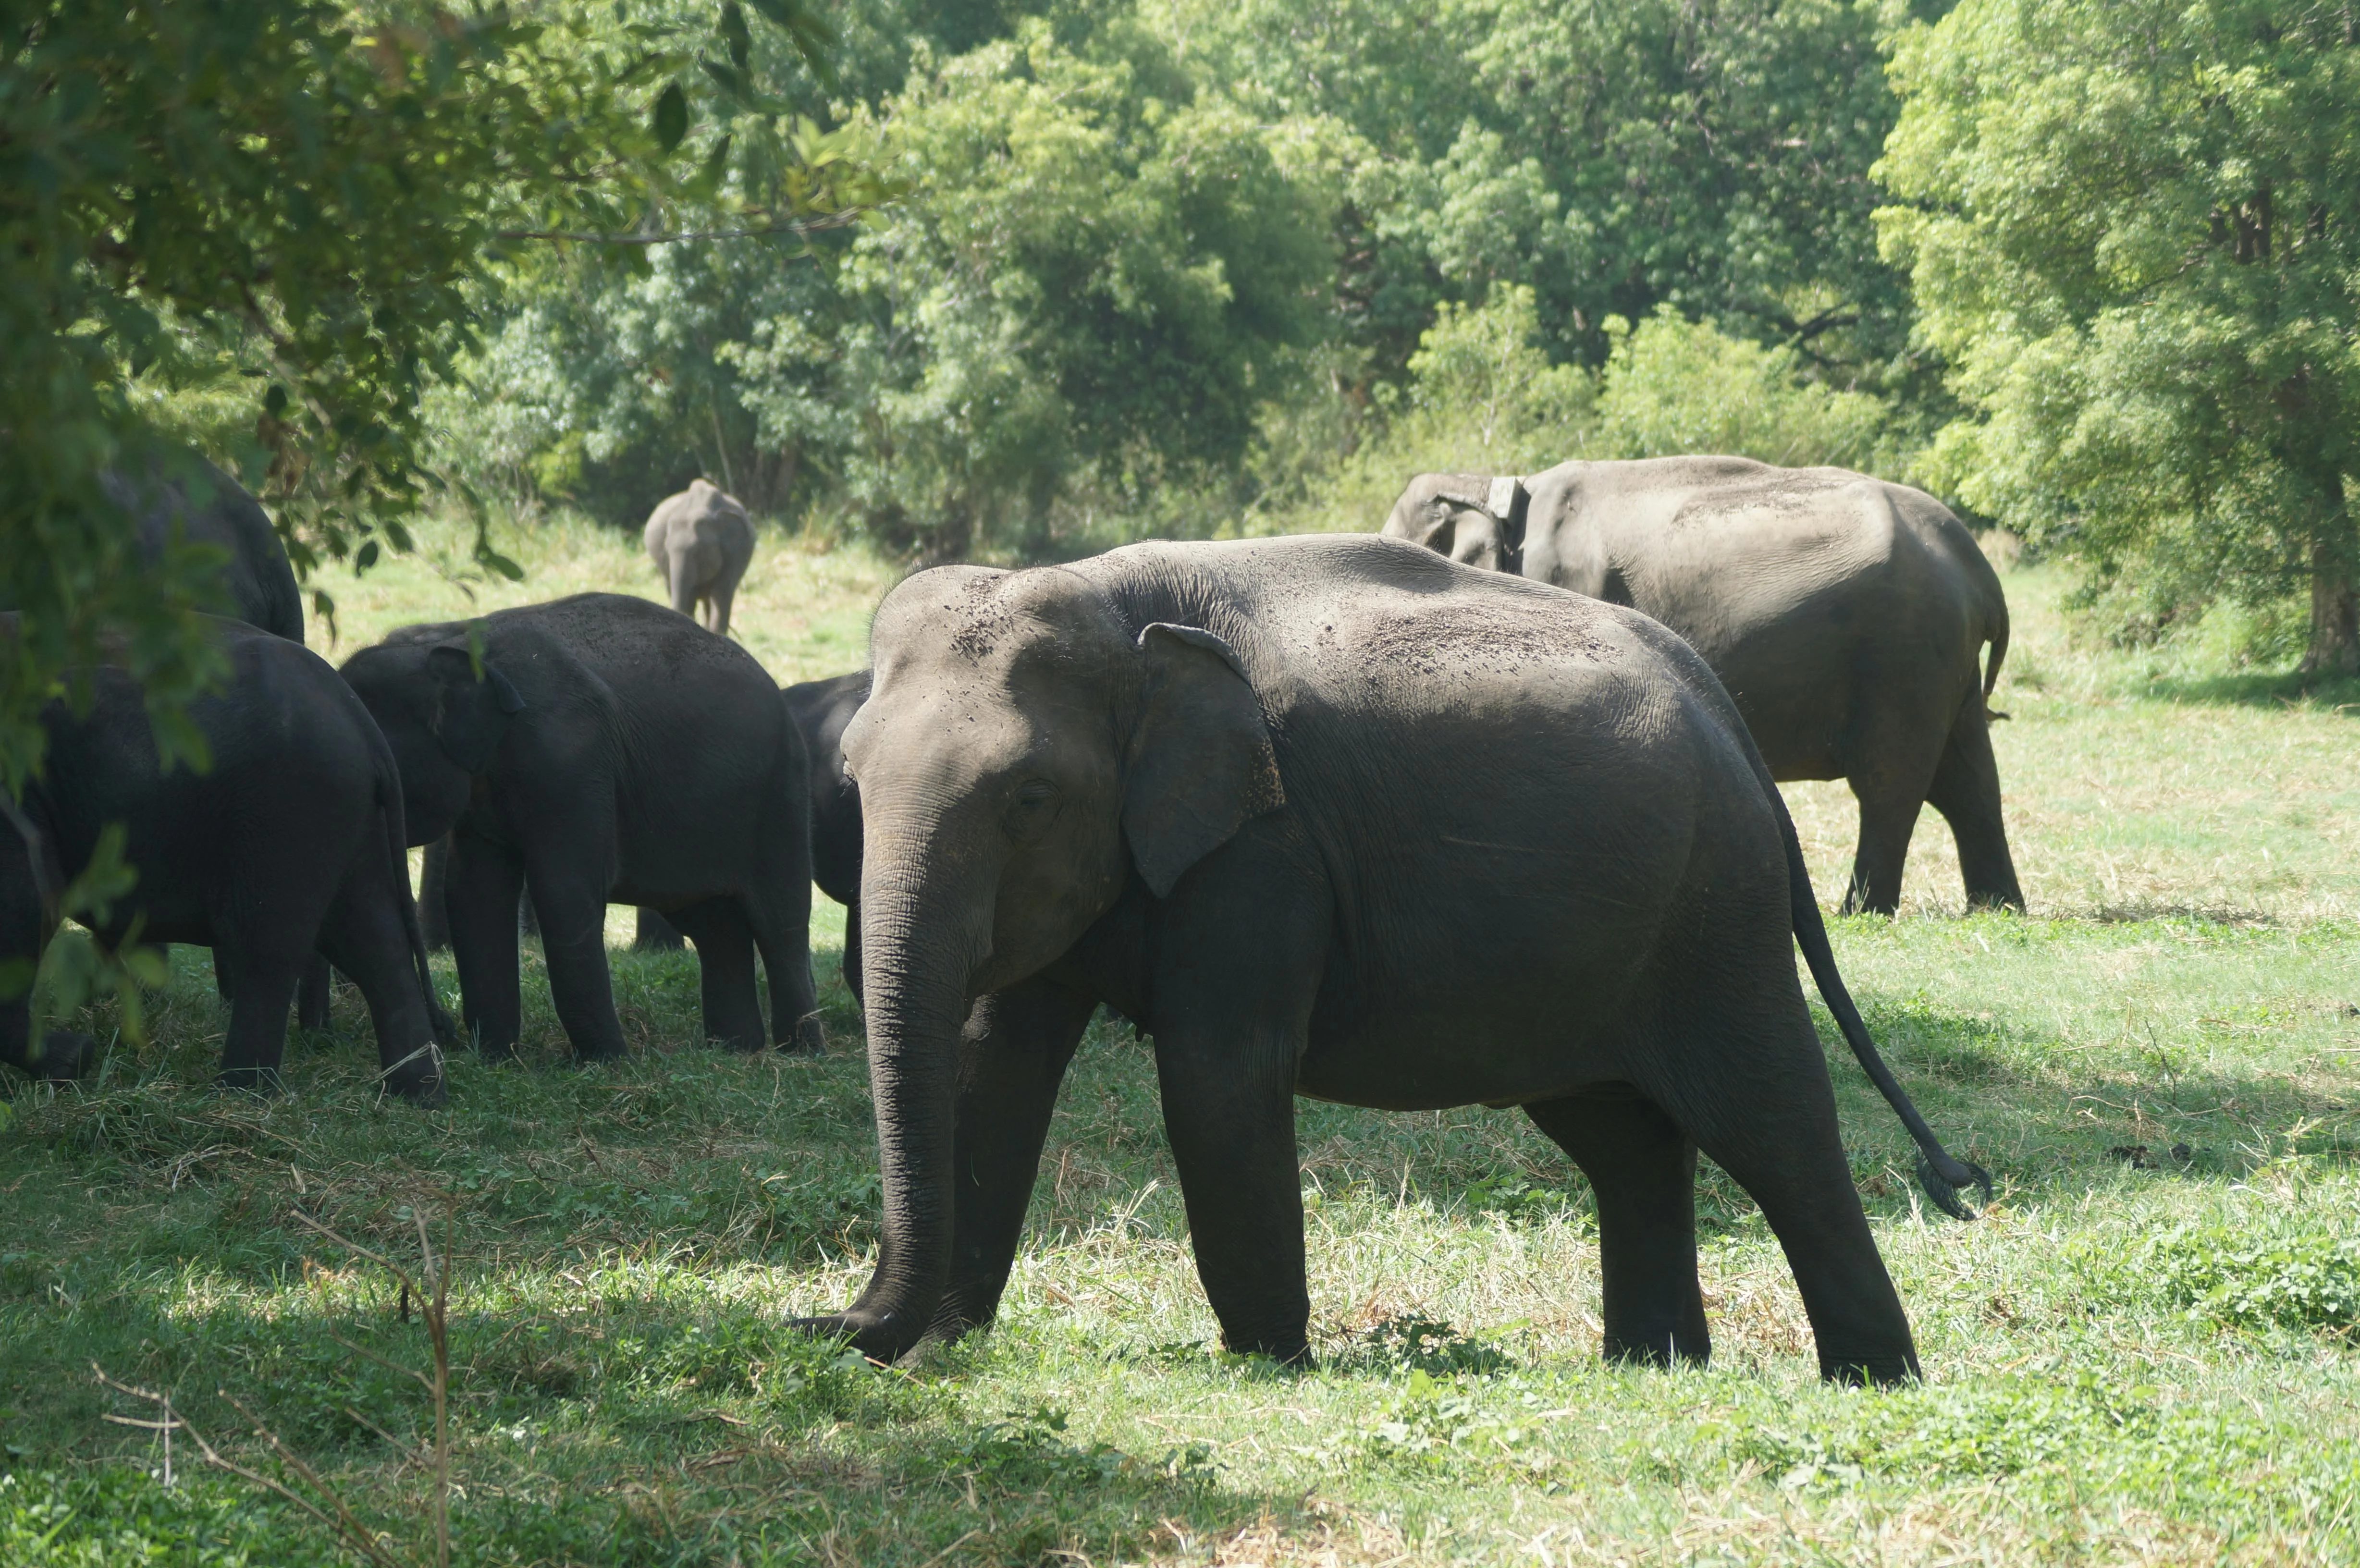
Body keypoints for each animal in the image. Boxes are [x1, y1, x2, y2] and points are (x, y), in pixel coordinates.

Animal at [0, 614, 449, 1102]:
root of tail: (364, 727)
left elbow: (25, 898)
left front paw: (74, 1059)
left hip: (288, 810)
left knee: (267, 945)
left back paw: (238, 1093)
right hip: (343, 813)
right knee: (373, 940)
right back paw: (417, 1093)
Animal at [339, 593, 824, 1060]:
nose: (448, 1034)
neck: (453, 646)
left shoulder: (570, 761)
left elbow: (565, 890)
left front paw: (605, 1062)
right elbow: (473, 892)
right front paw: (495, 1058)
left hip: (781, 797)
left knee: (780, 921)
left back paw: (799, 1053)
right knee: (714, 927)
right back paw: (735, 1050)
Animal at [794, 534, 1989, 1382]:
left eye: (1030, 798)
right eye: (848, 780)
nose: (815, 1320)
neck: (1107, 597)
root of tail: (1724, 716)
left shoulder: (1266, 851)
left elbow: (1216, 1076)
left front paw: (1271, 1365)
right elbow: (993, 1068)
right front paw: (941, 1347)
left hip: (1715, 910)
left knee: (1770, 1118)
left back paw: (1872, 1378)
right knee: (1622, 1138)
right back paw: (1652, 1369)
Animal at [1383, 458, 2022, 915]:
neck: (1495, 484)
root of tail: (1981, 575)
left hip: (1901, 654)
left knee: (1891, 785)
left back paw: (1860, 912)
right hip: (1943, 665)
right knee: (1970, 781)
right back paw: (1996, 908)